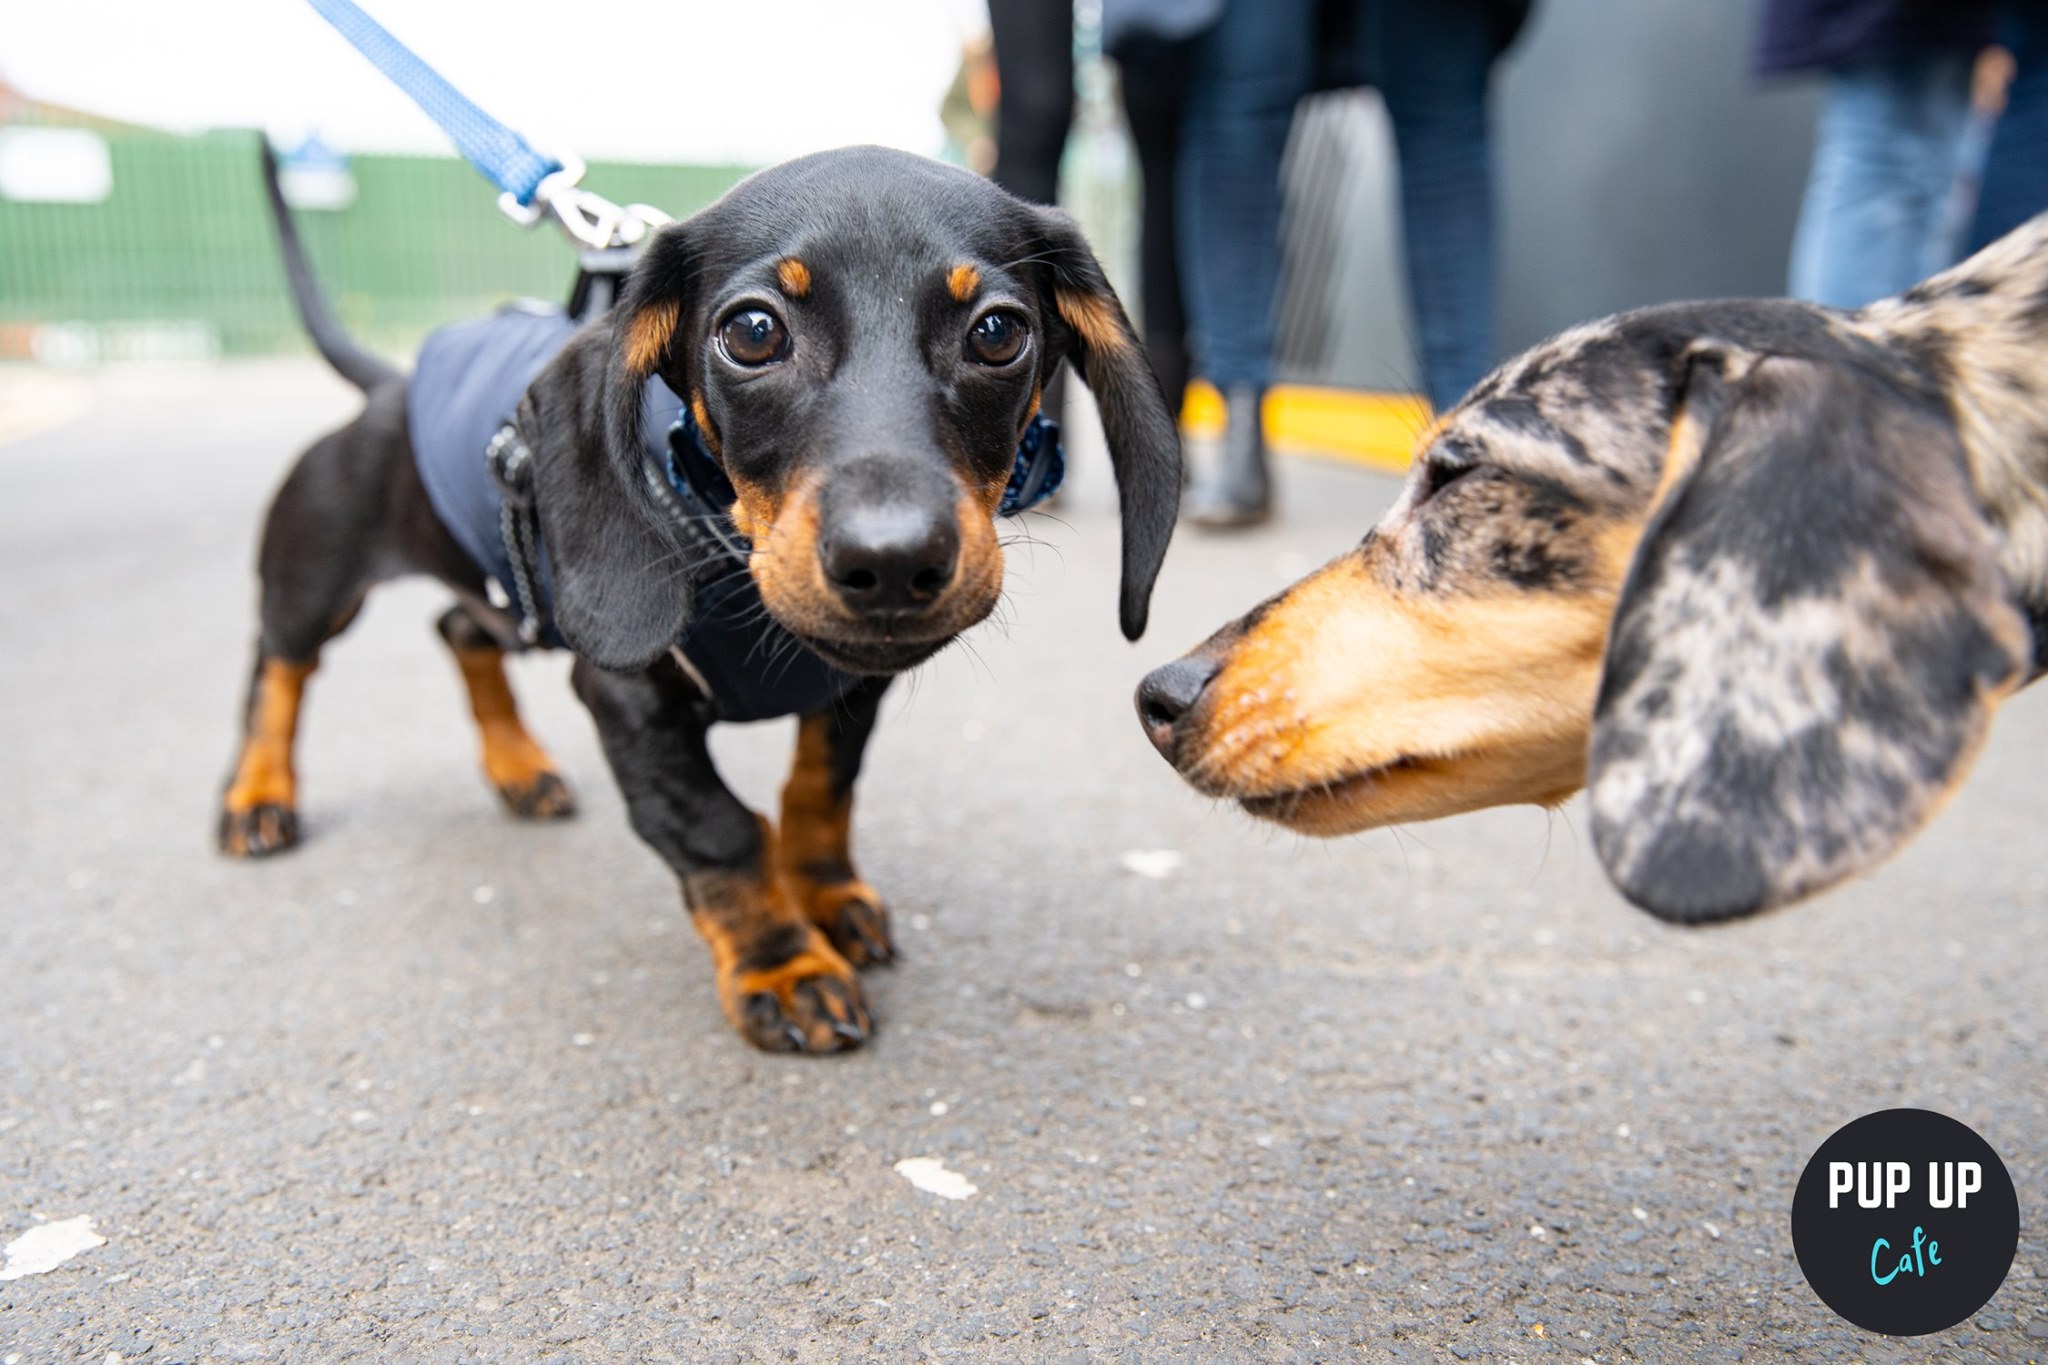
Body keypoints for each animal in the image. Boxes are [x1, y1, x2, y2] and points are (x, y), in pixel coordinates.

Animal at [218, 147, 1179, 1055]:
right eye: (752, 332)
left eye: (998, 332)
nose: (893, 562)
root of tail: (391, 386)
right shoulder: (628, 696)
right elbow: (719, 828)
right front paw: (783, 965)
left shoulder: (849, 687)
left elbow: (820, 790)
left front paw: (826, 895)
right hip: (315, 577)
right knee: (280, 667)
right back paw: (256, 796)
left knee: (460, 627)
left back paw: (519, 769)